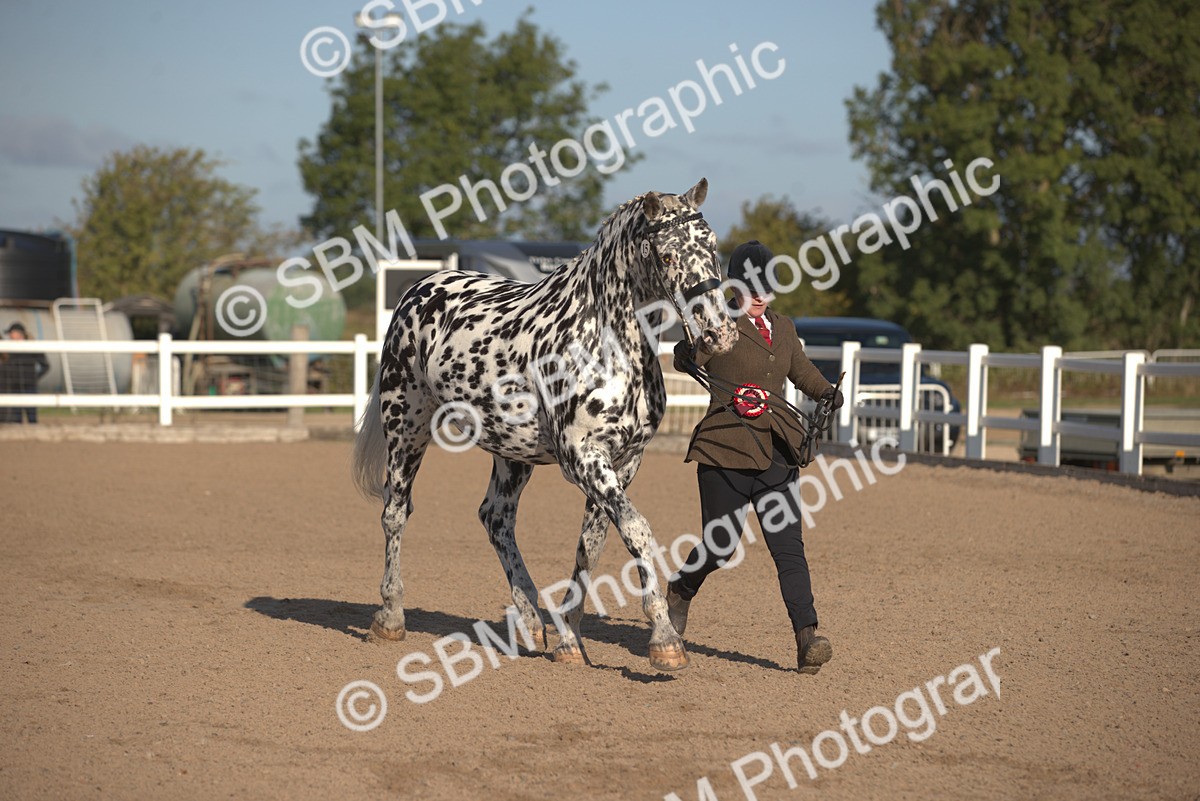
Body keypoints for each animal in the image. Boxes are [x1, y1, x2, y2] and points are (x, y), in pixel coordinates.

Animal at [351, 177, 737, 671]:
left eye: (712, 245)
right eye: (667, 255)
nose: (718, 335)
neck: (603, 341)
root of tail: (418, 288)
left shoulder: (624, 461)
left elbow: (592, 543)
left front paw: (569, 640)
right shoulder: (583, 458)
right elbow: (636, 530)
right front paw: (665, 641)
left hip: (510, 454)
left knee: (495, 518)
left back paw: (531, 622)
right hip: (406, 426)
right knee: (396, 513)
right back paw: (390, 617)